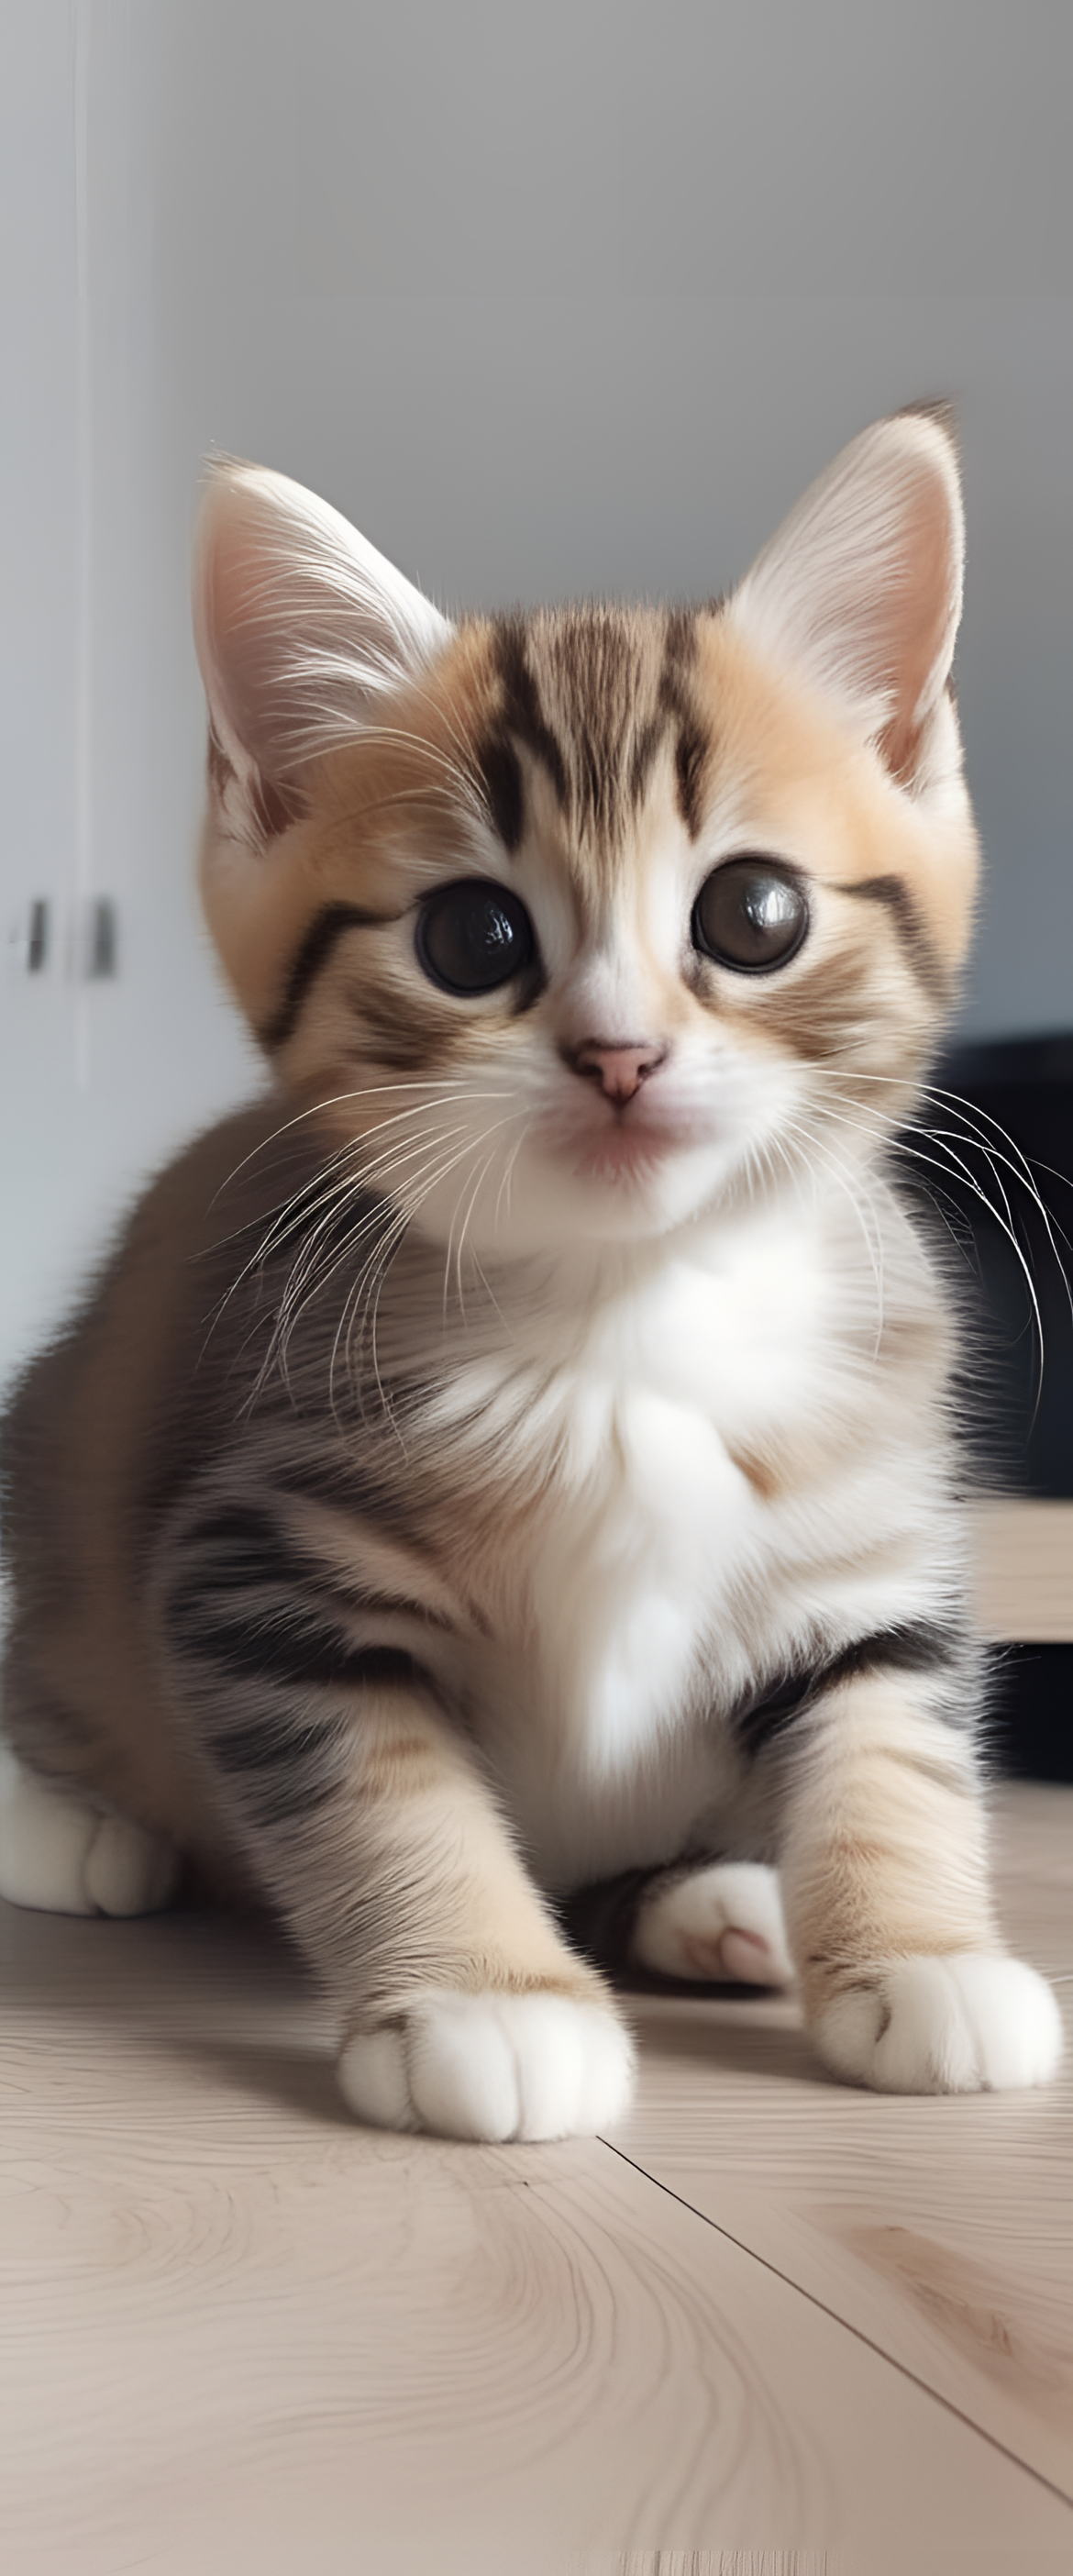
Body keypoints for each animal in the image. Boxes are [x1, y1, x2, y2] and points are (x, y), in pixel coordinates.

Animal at [0, 406, 1059, 2133]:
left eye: (753, 913)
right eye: (474, 937)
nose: (620, 1054)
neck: (630, 1312)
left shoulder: (874, 1537)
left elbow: (890, 1740)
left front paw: (921, 1955)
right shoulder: (252, 1560)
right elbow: (384, 1790)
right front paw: (484, 1998)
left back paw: (713, 1898)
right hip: (64, 1463)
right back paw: (72, 1821)